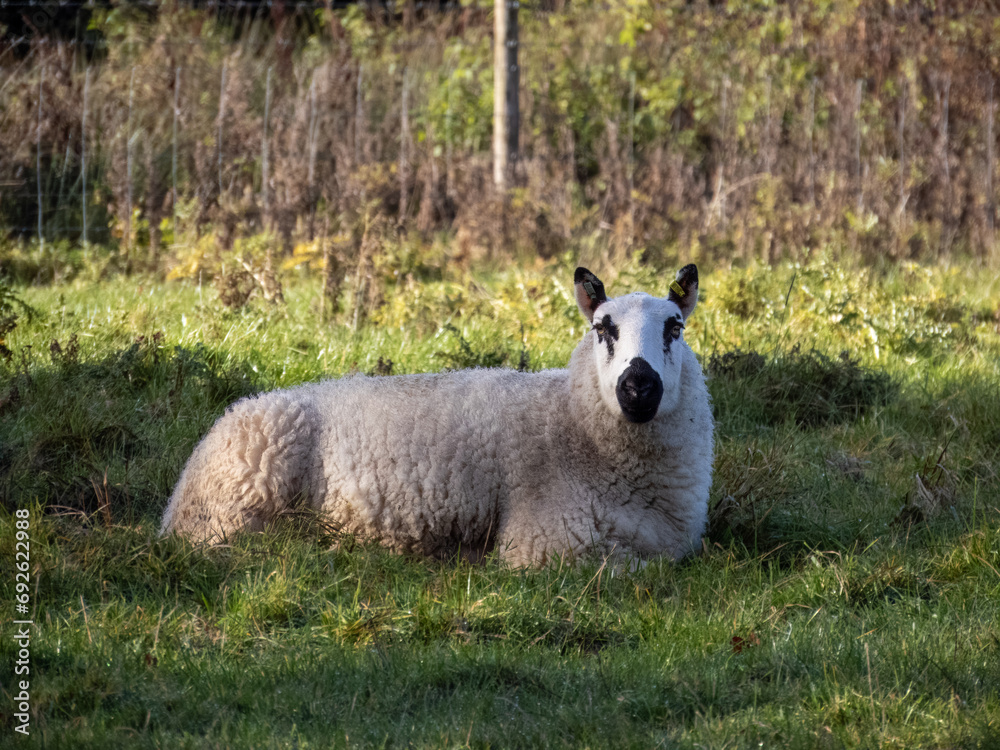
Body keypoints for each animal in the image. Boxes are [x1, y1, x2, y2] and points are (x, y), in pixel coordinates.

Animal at [160, 265, 714, 567]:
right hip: (234, 513)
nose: (638, 387)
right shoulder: (545, 543)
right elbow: (633, 568)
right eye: (603, 329)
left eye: (676, 327)